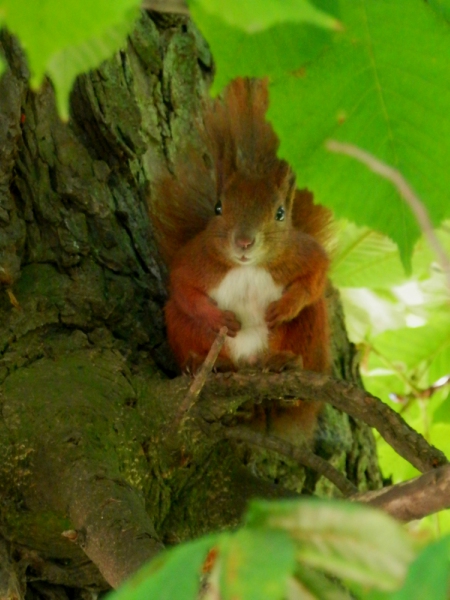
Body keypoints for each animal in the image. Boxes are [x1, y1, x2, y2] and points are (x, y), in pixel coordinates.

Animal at [153, 78, 332, 436]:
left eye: (280, 213)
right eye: (218, 207)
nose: (244, 241)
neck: (247, 268)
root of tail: (249, 364)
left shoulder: (303, 253)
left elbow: (315, 277)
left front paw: (284, 306)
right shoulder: (194, 260)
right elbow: (182, 288)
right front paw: (218, 318)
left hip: (309, 334)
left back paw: (286, 364)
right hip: (180, 325)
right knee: (182, 315)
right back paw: (206, 365)